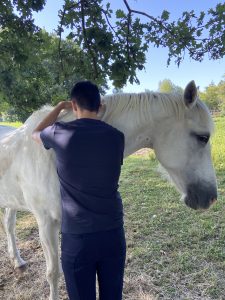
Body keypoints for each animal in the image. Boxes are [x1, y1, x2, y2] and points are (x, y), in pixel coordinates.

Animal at [0, 81, 218, 298]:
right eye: (203, 137)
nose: (212, 198)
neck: (52, 155)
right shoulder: (46, 223)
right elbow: (53, 273)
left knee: (9, 225)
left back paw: (17, 261)